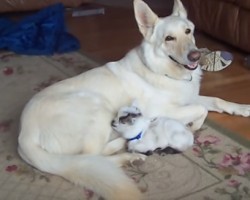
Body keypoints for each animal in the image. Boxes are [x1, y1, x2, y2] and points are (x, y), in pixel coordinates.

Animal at [17, 0, 250, 200]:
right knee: (92, 156)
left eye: (188, 32)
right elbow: (201, 110)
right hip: (97, 108)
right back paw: (126, 152)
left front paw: (242, 108)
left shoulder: (190, 96)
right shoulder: (163, 110)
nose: (195, 56)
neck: (162, 70)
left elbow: (216, 101)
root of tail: (24, 135)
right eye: (169, 38)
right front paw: (194, 126)